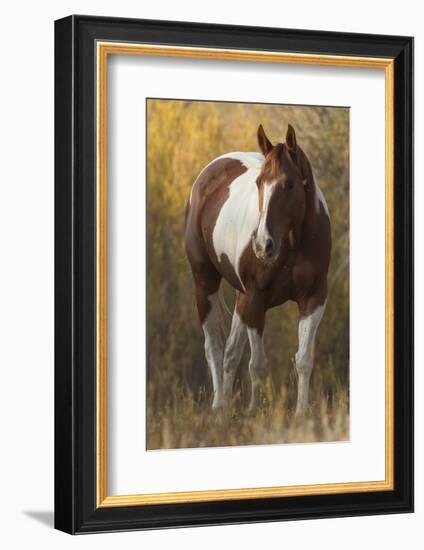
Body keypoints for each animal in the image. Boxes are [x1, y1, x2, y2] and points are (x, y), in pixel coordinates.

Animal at [185, 125, 332, 418]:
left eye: (289, 184)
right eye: (259, 183)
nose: (264, 245)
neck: (294, 243)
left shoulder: (314, 298)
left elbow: (303, 359)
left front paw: (301, 414)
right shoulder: (257, 299)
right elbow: (257, 363)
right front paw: (255, 411)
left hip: (241, 298)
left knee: (230, 353)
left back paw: (225, 410)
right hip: (205, 284)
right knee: (214, 347)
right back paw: (218, 407)